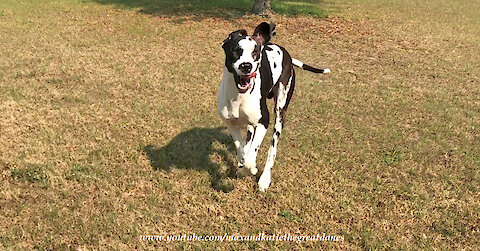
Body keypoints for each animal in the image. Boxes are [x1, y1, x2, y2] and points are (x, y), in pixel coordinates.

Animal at [218, 22, 330, 191]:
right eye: (236, 50)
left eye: (255, 53)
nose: (246, 66)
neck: (238, 98)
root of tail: (286, 54)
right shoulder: (231, 125)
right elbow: (241, 151)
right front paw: (242, 163)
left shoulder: (264, 122)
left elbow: (250, 159)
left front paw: (251, 169)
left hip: (279, 113)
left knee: (272, 149)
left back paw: (264, 178)